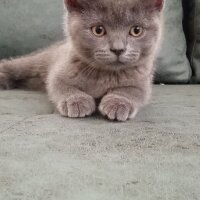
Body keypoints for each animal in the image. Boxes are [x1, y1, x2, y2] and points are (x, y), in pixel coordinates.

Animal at [0, 0, 164, 121]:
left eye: (136, 30)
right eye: (98, 30)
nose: (118, 49)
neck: (105, 74)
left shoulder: (142, 80)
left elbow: (132, 91)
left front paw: (117, 103)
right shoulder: (59, 72)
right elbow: (61, 85)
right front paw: (77, 101)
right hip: (38, 61)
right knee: (17, 65)